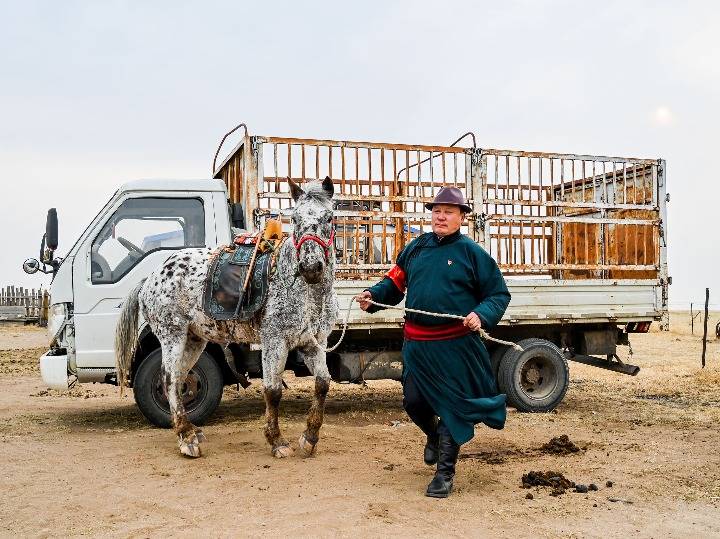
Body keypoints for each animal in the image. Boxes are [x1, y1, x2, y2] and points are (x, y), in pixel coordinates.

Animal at [114, 179, 338, 458]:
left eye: (329, 217)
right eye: (295, 219)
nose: (310, 267)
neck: (304, 292)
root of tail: (151, 278)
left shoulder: (313, 343)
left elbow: (322, 383)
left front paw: (309, 437)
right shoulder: (274, 342)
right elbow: (273, 391)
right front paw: (277, 441)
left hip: (193, 340)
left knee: (180, 378)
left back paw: (192, 430)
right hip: (172, 336)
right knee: (169, 379)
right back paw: (186, 438)